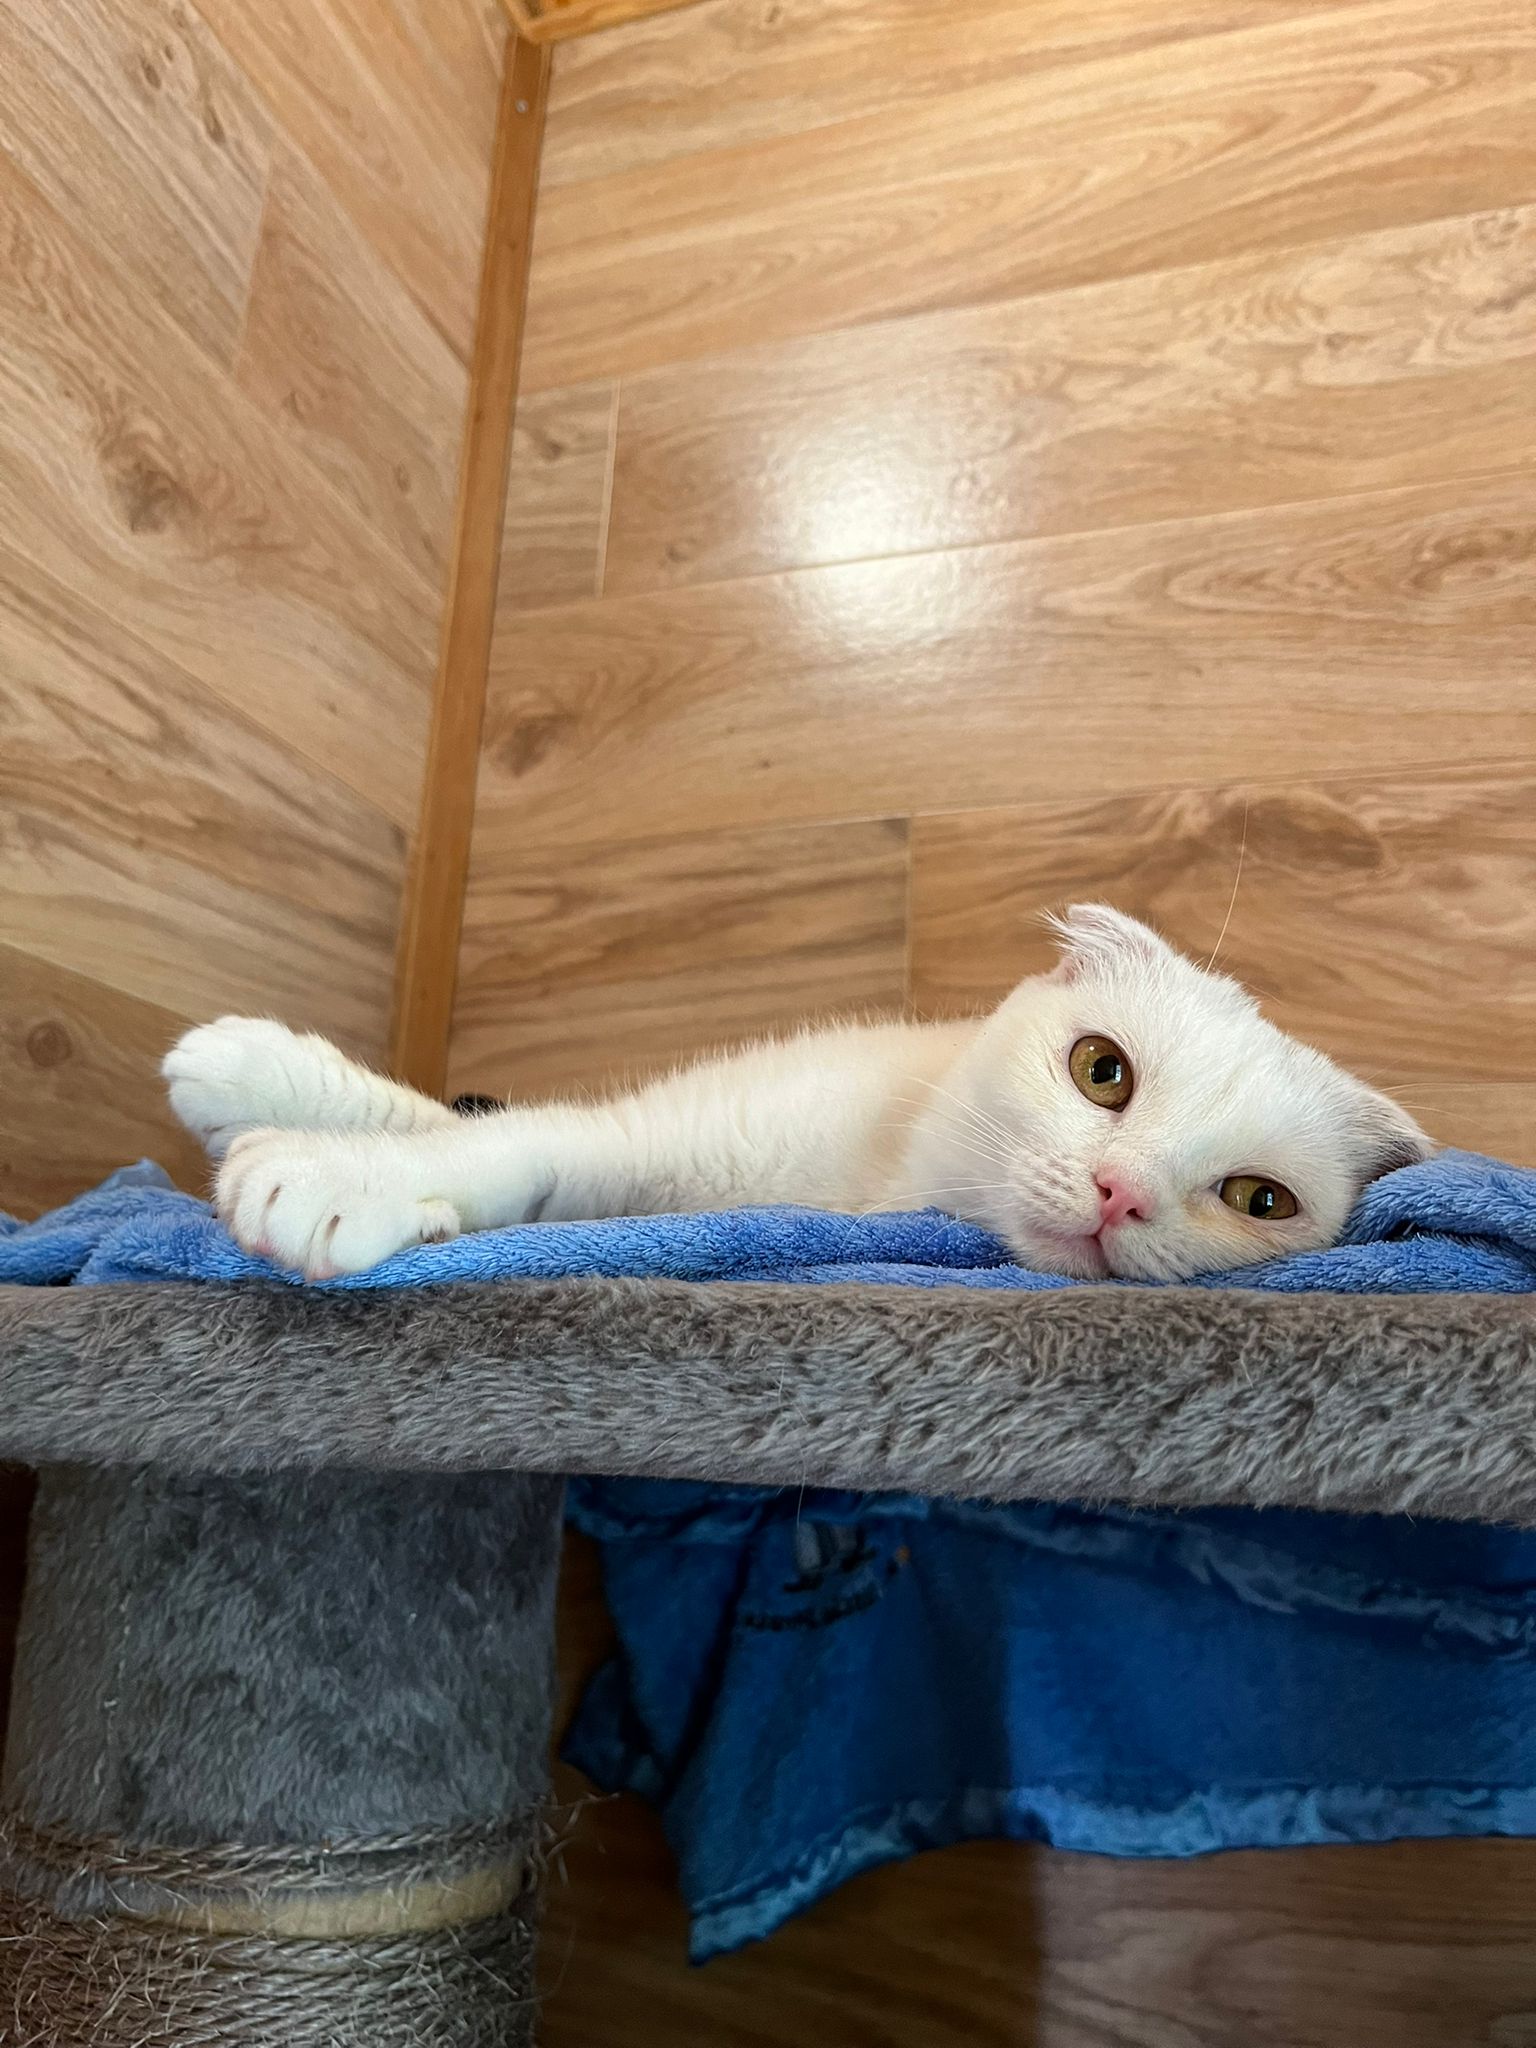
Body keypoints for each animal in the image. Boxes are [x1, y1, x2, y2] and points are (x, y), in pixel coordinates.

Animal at [163, 904, 1431, 1284]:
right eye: (1102, 1070)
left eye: (1259, 1201)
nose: (1122, 1191)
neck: (882, 1175)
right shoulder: (660, 1133)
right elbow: (509, 1138)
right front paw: (281, 1103)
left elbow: (512, 1153)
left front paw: (326, 1174)